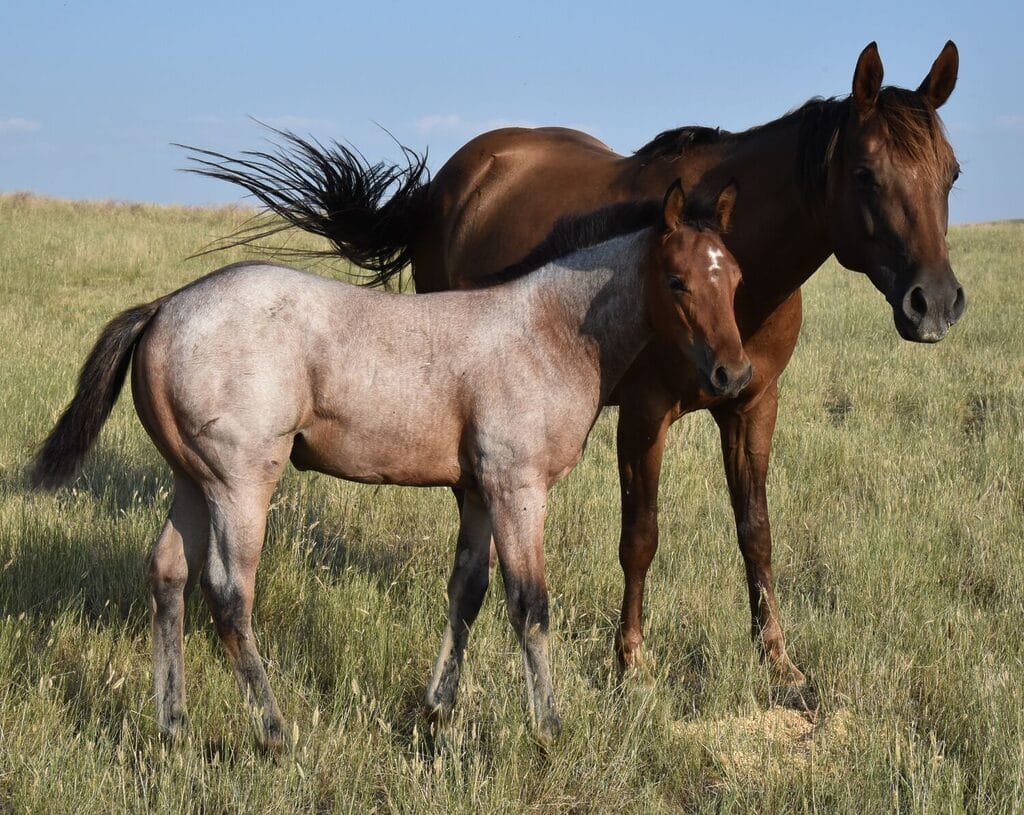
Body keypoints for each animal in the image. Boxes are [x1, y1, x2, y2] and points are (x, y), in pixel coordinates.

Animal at [32, 181, 749, 749]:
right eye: (678, 281)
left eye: (737, 278)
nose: (733, 375)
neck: (547, 330)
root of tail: (164, 307)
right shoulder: (517, 487)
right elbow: (531, 604)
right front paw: (549, 727)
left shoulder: (476, 491)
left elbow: (467, 594)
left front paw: (437, 712)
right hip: (240, 484)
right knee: (229, 595)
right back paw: (274, 731)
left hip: (192, 480)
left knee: (168, 576)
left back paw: (173, 726)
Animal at [186, 41, 966, 696]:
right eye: (865, 174)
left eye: (952, 174)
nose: (935, 302)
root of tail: (452, 178)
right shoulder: (646, 414)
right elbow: (640, 537)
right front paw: (630, 662)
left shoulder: (754, 404)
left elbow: (757, 530)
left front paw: (779, 661)